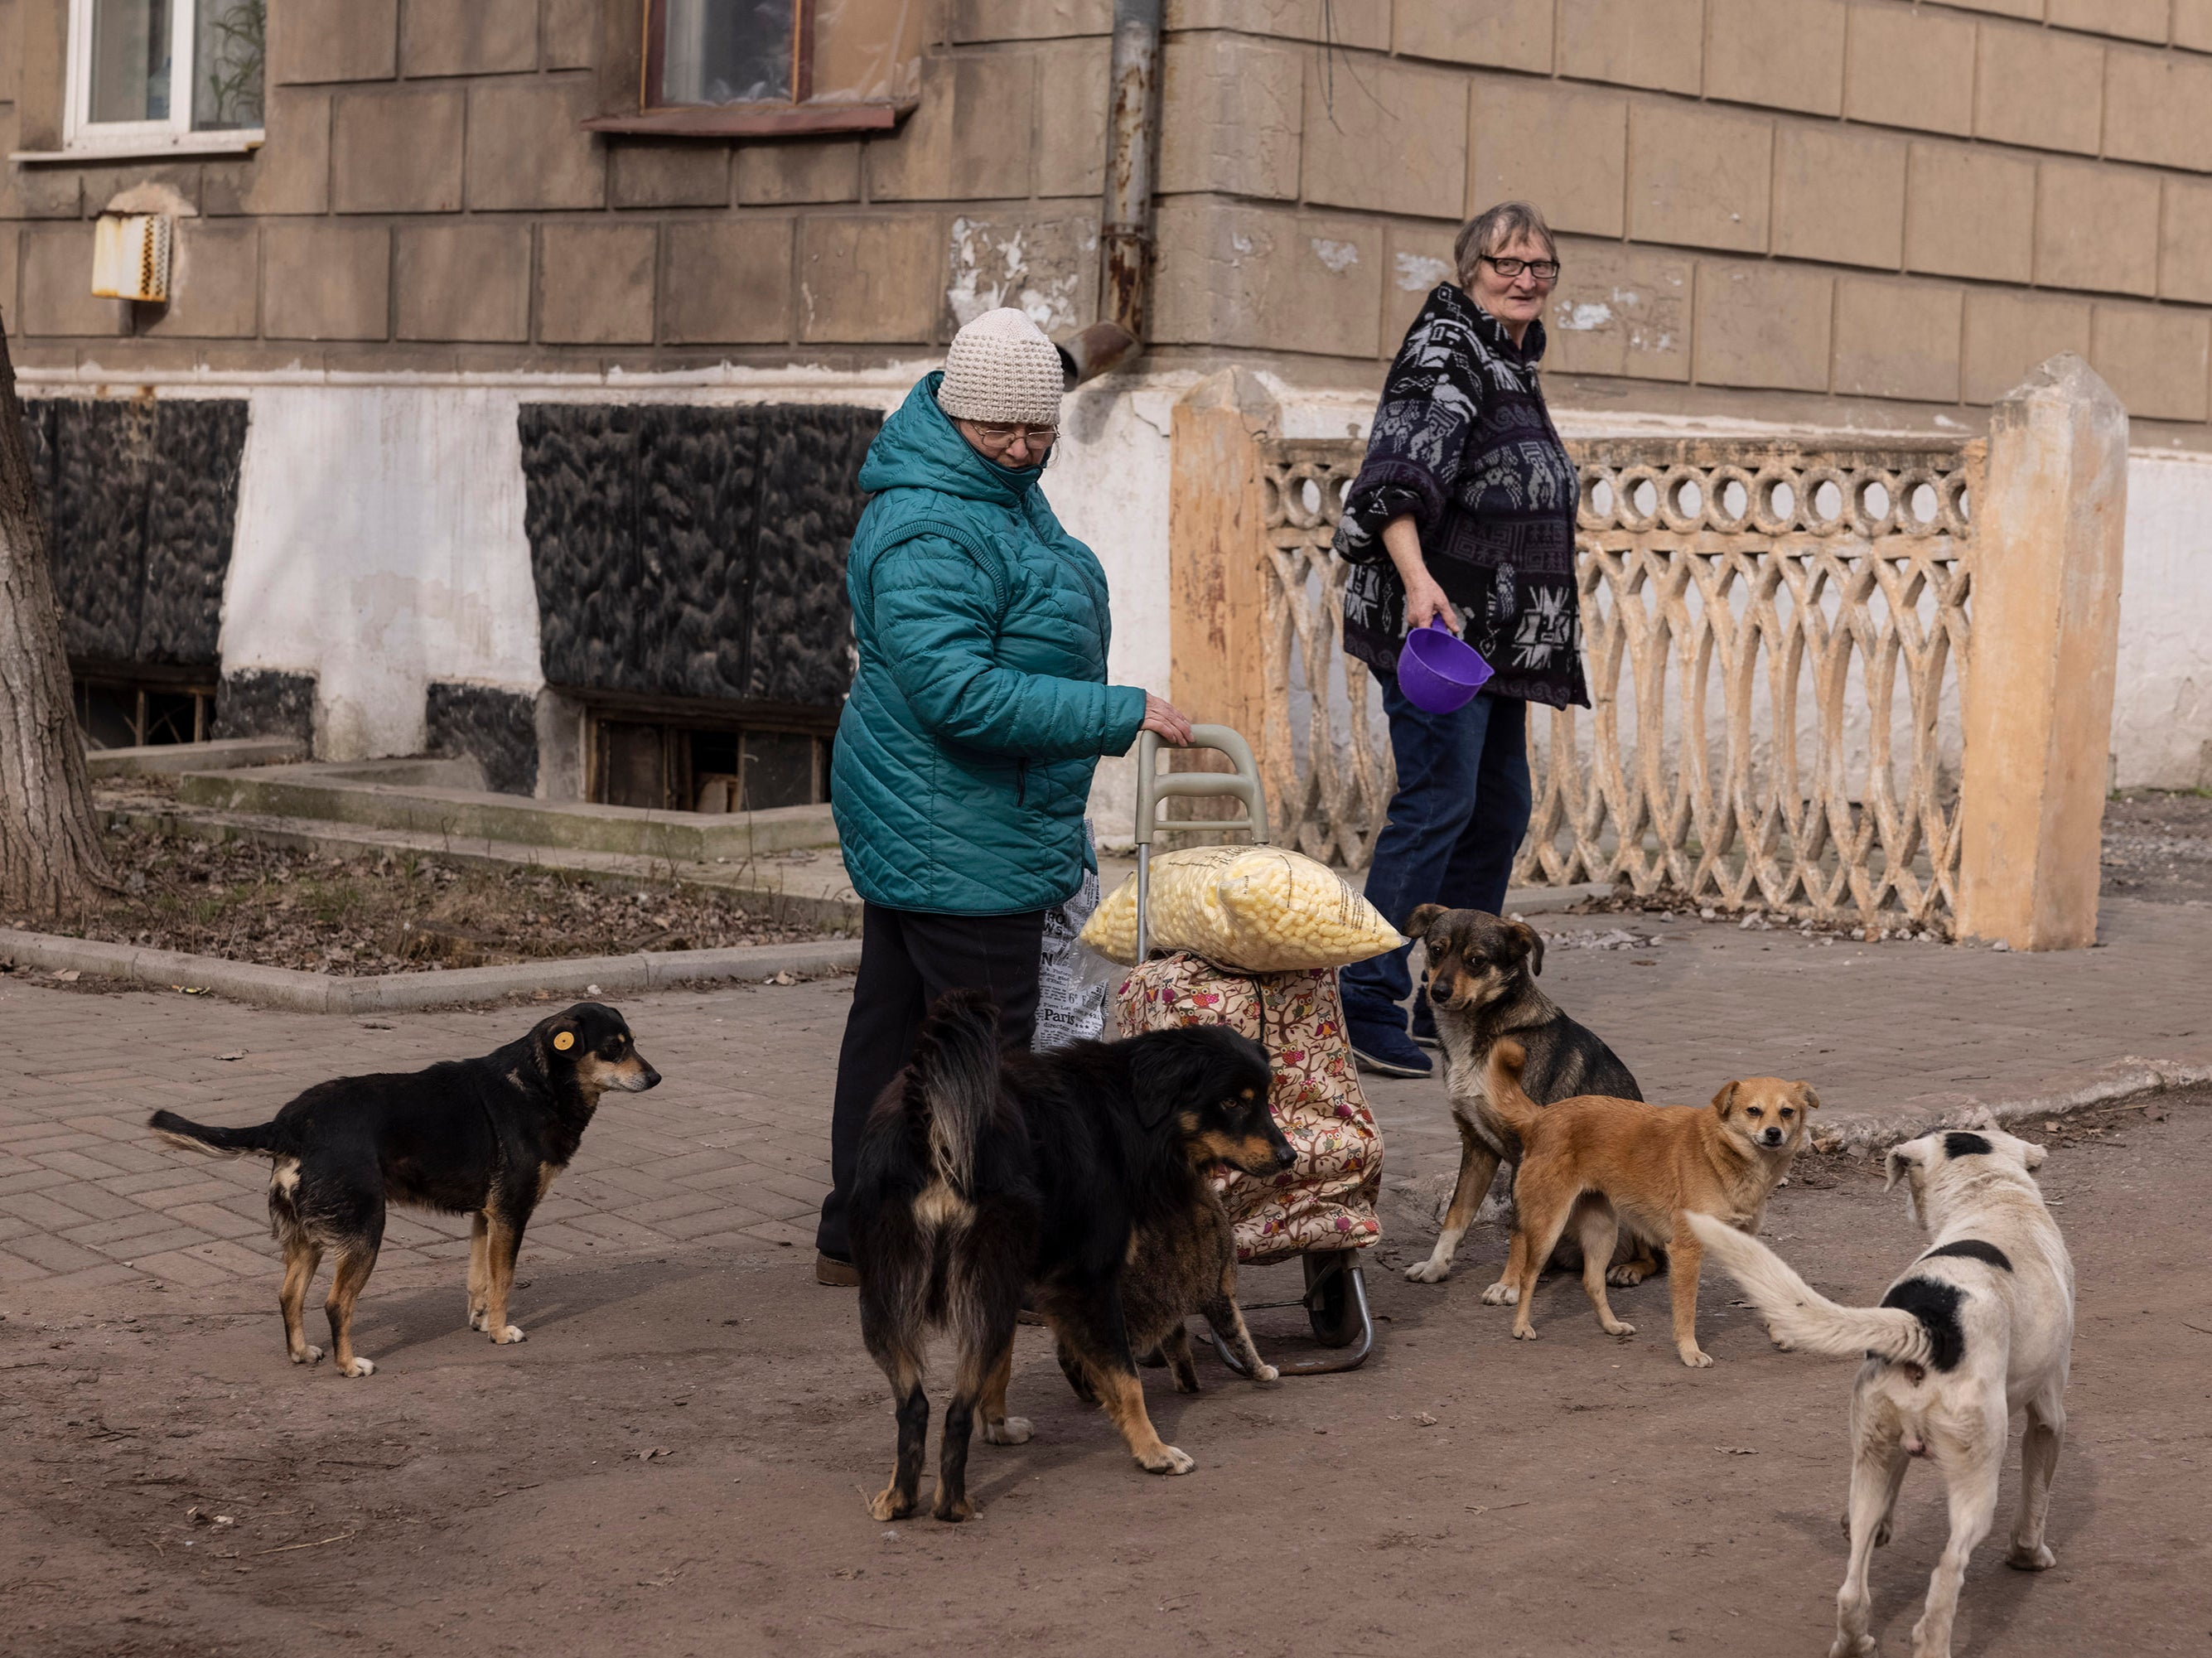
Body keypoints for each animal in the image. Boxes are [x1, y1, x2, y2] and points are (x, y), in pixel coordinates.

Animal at [147, 1000, 654, 1381]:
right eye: (613, 1050)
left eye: (633, 1043)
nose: (656, 1079)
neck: (537, 1084)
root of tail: (289, 1123)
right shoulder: (511, 1212)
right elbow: (505, 1280)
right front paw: (499, 1331)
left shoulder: (485, 1215)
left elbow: (479, 1279)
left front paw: (480, 1320)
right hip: (365, 1231)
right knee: (336, 1304)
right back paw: (349, 1366)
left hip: (307, 1237)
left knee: (289, 1296)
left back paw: (302, 1353)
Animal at [849, 991, 1292, 1523]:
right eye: (1230, 1102)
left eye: (1263, 1099)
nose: (1289, 1157)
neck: (1127, 1107)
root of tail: (930, 1124)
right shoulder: (1088, 1279)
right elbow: (1126, 1378)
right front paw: (1153, 1452)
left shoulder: (1020, 1279)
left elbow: (1002, 1363)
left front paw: (997, 1427)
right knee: (952, 1411)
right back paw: (953, 1506)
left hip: (893, 1296)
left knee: (914, 1405)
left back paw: (899, 1498)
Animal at [1398, 898, 1645, 1283]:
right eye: (1436, 950)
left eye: (1476, 960)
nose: (1438, 992)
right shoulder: (1477, 1146)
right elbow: (1455, 1216)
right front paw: (1436, 1266)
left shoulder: (1527, 1149)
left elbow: (1519, 1230)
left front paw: (1509, 1287)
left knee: (1659, 1256)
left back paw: (1629, 1269)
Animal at [1486, 1040, 1814, 1363]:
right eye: (1753, 1111)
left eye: (1787, 1112)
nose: (1774, 1133)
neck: (1720, 1154)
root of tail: (1542, 1116)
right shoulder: (1685, 1251)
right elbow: (1687, 1310)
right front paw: (1689, 1351)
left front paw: (1779, 1332)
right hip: (1548, 1227)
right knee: (1528, 1275)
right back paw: (1521, 1326)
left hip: (1602, 1231)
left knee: (1592, 1282)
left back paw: (1611, 1325)